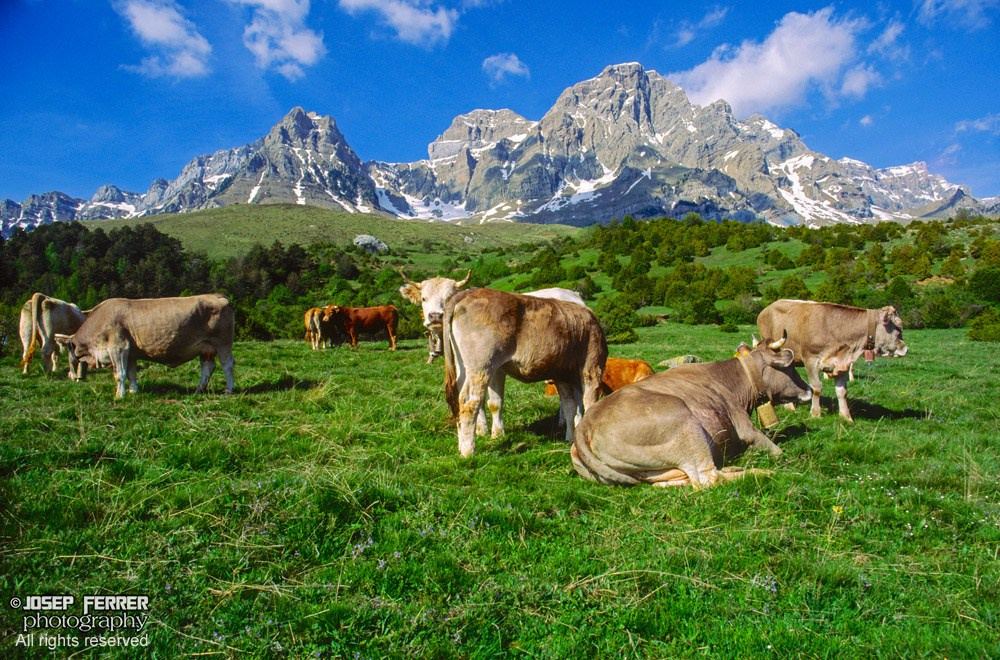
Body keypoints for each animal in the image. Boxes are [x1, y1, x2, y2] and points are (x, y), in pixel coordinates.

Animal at [54, 294, 235, 398]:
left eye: (68, 353)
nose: (73, 377)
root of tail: (219, 296)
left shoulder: (118, 348)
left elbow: (119, 374)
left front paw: (120, 395)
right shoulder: (131, 353)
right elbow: (131, 374)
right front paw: (133, 391)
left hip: (222, 342)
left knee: (227, 365)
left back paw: (228, 389)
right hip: (206, 347)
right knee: (208, 367)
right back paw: (198, 390)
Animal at [443, 288, 607, 457]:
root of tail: (472, 291)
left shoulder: (561, 375)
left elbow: (570, 406)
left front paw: (570, 438)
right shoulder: (592, 366)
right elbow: (588, 403)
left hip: (464, 368)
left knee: (459, 400)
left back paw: (461, 446)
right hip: (481, 365)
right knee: (470, 402)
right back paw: (468, 451)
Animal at [571, 335, 813, 489]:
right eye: (791, 367)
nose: (809, 390)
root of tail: (585, 424)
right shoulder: (746, 429)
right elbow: (779, 452)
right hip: (687, 425)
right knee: (708, 479)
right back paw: (760, 473)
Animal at [757, 299, 908, 423]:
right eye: (899, 328)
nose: (905, 349)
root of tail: (768, 308)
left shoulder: (842, 364)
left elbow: (842, 392)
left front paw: (846, 417)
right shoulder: (810, 360)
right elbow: (816, 388)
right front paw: (815, 413)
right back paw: (789, 406)